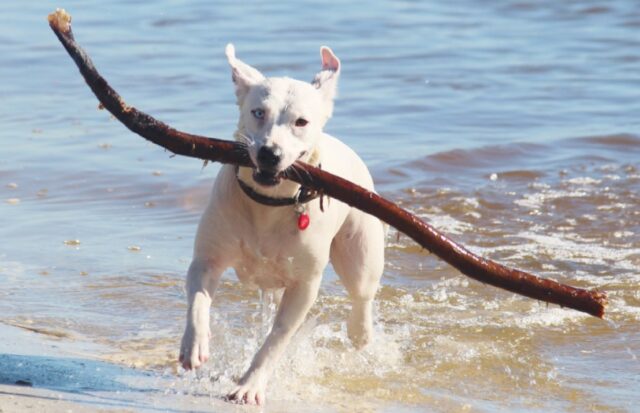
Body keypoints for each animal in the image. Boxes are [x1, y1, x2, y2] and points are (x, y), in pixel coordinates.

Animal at [179, 43, 384, 404]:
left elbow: (276, 339)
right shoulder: (208, 259)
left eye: (301, 121)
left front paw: (250, 385)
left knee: (362, 294)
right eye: (258, 112)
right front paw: (195, 345)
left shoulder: (304, 285)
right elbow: (199, 300)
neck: (267, 203)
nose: (269, 153)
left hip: (361, 249)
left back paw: (361, 334)